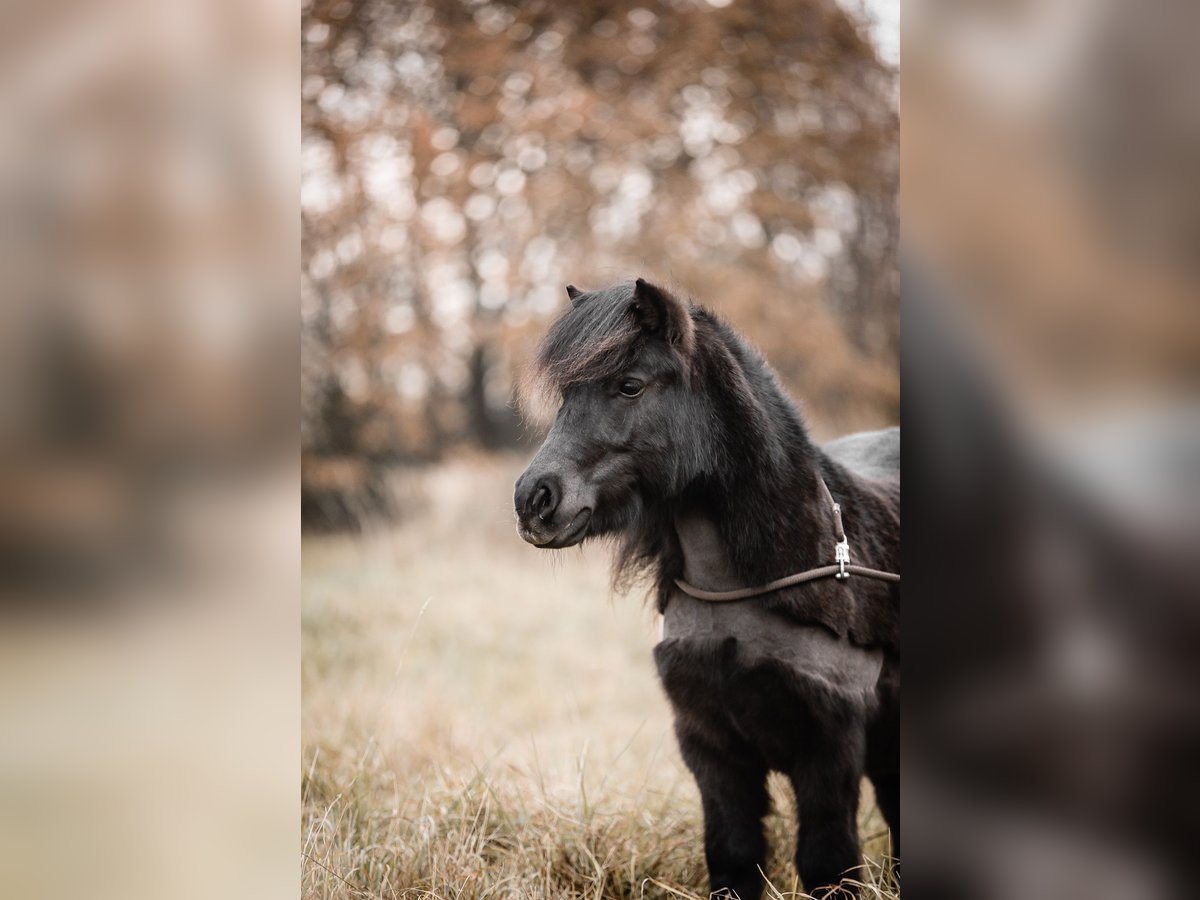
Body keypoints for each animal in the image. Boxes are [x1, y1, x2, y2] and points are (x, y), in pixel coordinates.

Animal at [516, 278, 902, 897]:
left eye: (629, 385)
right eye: (567, 394)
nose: (534, 501)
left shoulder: (829, 753)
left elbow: (828, 864)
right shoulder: (713, 753)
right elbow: (733, 857)